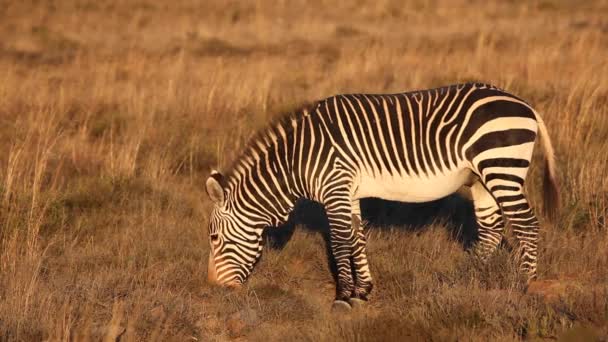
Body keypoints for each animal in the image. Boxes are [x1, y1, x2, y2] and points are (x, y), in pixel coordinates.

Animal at [207, 82, 560, 310]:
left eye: (214, 238)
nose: (215, 288)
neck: (296, 160)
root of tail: (526, 105)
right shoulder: (348, 191)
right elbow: (356, 237)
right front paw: (362, 290)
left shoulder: (335, 186)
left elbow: (340, 242)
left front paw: (342, 297)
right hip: (480, 178)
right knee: (490, 228)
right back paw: (469, 277)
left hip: (501, 167)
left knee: (527, 224)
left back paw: (526, 283)